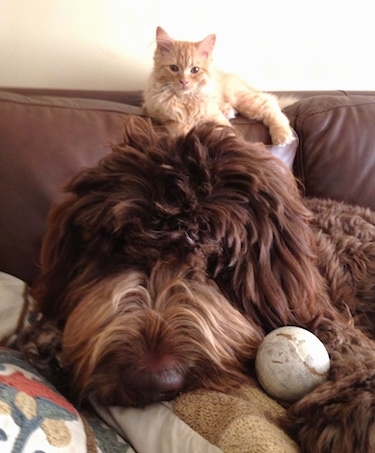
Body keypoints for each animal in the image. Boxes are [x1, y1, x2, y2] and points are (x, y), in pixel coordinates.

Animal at [19, 117, 375, 452]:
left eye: (215, 261)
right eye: (122, 251)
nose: (152, 381)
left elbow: (342, 339)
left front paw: (357, 405)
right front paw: (51, 339)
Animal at [144, 26, 296, 143]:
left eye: (195, 70)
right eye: (174, 68)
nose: (184, 81)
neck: (185, 100)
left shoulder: (216, 117)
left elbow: (225, 131)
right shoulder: (160, 114)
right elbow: (178, 127)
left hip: (243, 99)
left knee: (270, 102)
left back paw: (282, 134)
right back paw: (229, 110)